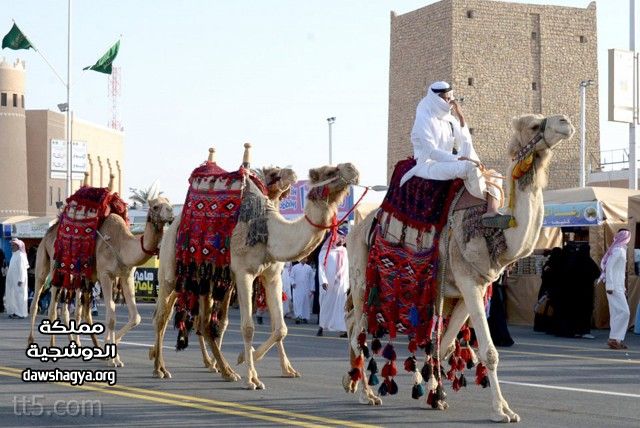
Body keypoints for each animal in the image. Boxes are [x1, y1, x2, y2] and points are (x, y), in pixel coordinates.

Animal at [28, 175, 175, 368]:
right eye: (156, 206)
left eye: (169, 203)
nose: (171, 213)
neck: (122, 245)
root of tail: (49, 232)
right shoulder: (106, 275)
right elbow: (111, 314)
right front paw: (112, 358)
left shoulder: (126, 275)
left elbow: (135, 317)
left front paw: (113, 353)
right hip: (50, 264)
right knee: (43, 301)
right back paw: (40, 343)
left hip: (78, 277)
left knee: (73, 310)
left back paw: (79, 345)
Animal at [151, 150, 298, 378]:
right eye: (274, 173)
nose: (292, 173)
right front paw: (242, 359)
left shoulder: (250, 278)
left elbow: (269, 324)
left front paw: (287, 368)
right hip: (169, 276)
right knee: (162, 316)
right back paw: (161, 368)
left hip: (195, 283)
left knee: (186, 319)